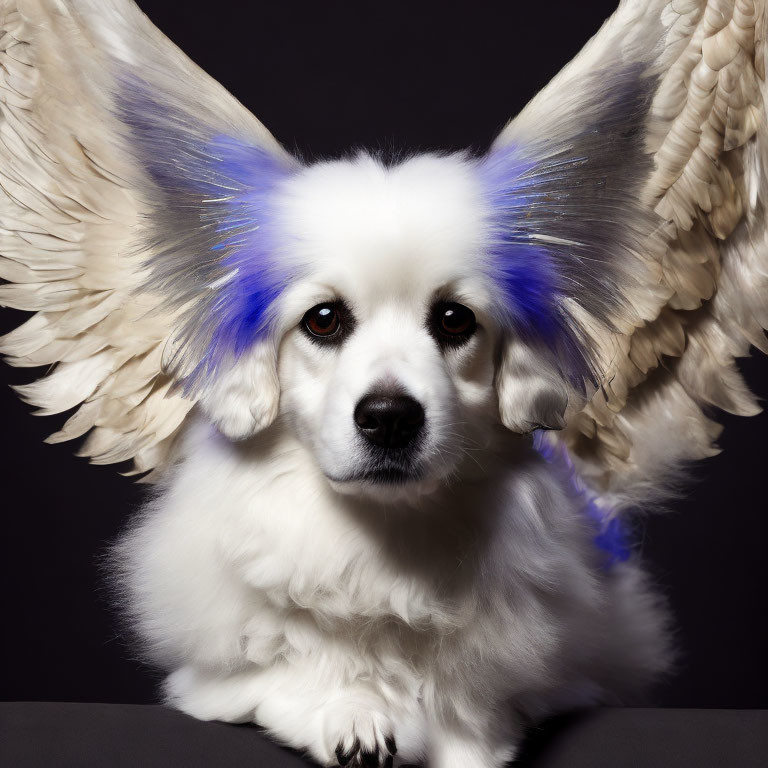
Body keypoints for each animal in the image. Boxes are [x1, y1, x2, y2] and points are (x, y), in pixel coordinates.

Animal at [1, 1, 768, 768]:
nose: (391, 417)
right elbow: (296, 665)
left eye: (455, 320)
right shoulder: (210, 681)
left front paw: (449, 730)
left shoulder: (559, 676)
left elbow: (471, 703)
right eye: (323, 320)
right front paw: (356, 714)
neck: (383, 540)